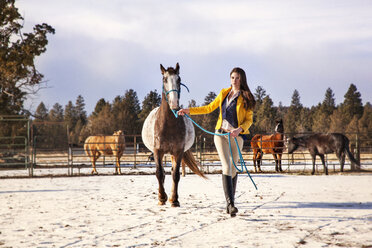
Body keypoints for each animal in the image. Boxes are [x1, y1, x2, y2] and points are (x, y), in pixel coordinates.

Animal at [142, 62, 206, 207]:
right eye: (164, 79)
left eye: (179, 79)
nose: (174, 105)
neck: (168, 124)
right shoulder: (157, 151)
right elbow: (159, 173)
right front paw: (161, 198)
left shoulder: (178, 151)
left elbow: (176, 175)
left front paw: (175, 200)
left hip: (172, 154)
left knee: (171, 172)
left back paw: (170, 197)